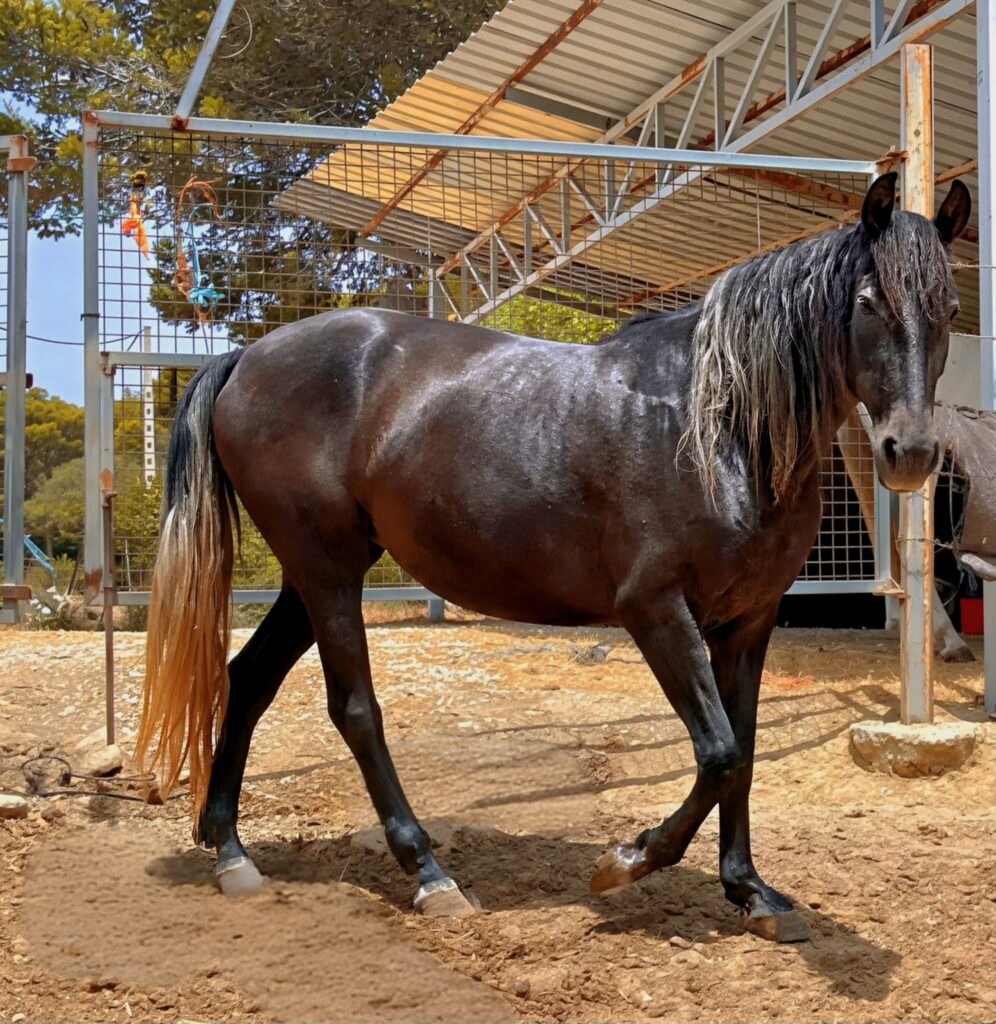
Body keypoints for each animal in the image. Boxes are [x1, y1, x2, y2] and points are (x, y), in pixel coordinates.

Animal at [137, 173, 970, 943]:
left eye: (952, 310)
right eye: (869, 300)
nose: (911, 453)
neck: (713, 423)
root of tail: (248, 358)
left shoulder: (750, 621)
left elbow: (745, 749)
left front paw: (751, 892)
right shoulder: (656, 611)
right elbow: (720, 752)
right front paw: (626, 860)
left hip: (314, 574)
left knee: (248, 680)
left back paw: (230, 851)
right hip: (327, 570)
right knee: (354, 710)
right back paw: (429, 874)